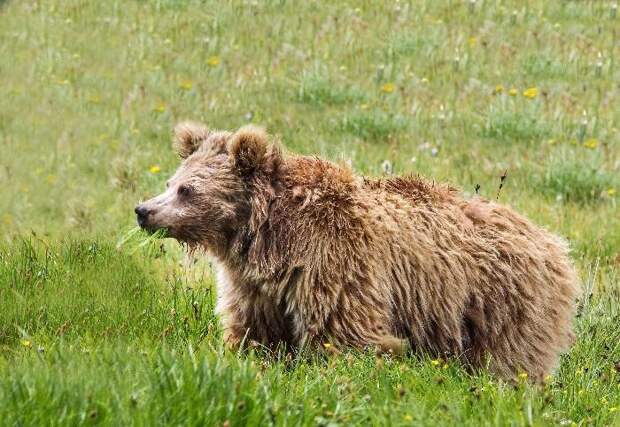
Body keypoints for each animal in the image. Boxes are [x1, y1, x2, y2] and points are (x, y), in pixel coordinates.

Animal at [136, 120, 580, 382]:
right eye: (171, 181)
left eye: (186, 190)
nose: (144, 211)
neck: (267, 235)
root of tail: (553, 242)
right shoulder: (255, 284)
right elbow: (254, 331)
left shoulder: (332, 259)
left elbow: (345, 332)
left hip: (504, 301)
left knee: (510, 359)